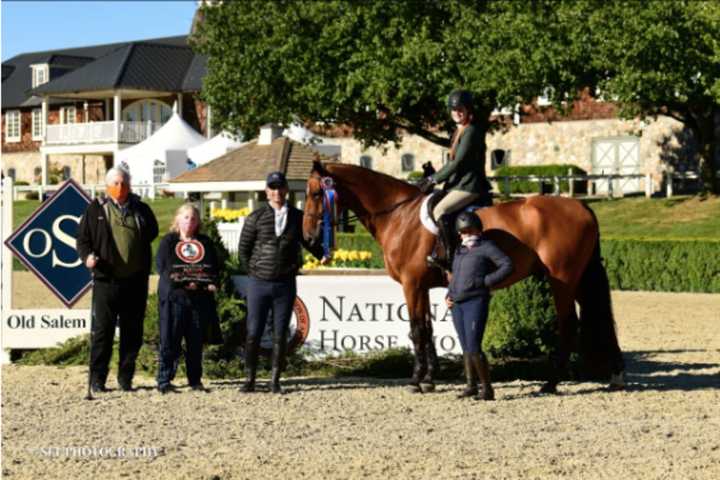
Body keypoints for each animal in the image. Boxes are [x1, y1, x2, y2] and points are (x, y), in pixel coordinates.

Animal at [304, 161, 624, 394]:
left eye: (316, 193)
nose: (308, 240)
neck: (398, 215)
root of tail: (581, 205)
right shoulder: (422, 286)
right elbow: (427, 329)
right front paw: (430, 378)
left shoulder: (411, 284)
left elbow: (417, 330)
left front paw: (417, 380)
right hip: (580, 279)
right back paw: (615, 375)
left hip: (562, 279)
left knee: (568, 325)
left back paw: (552, 383)